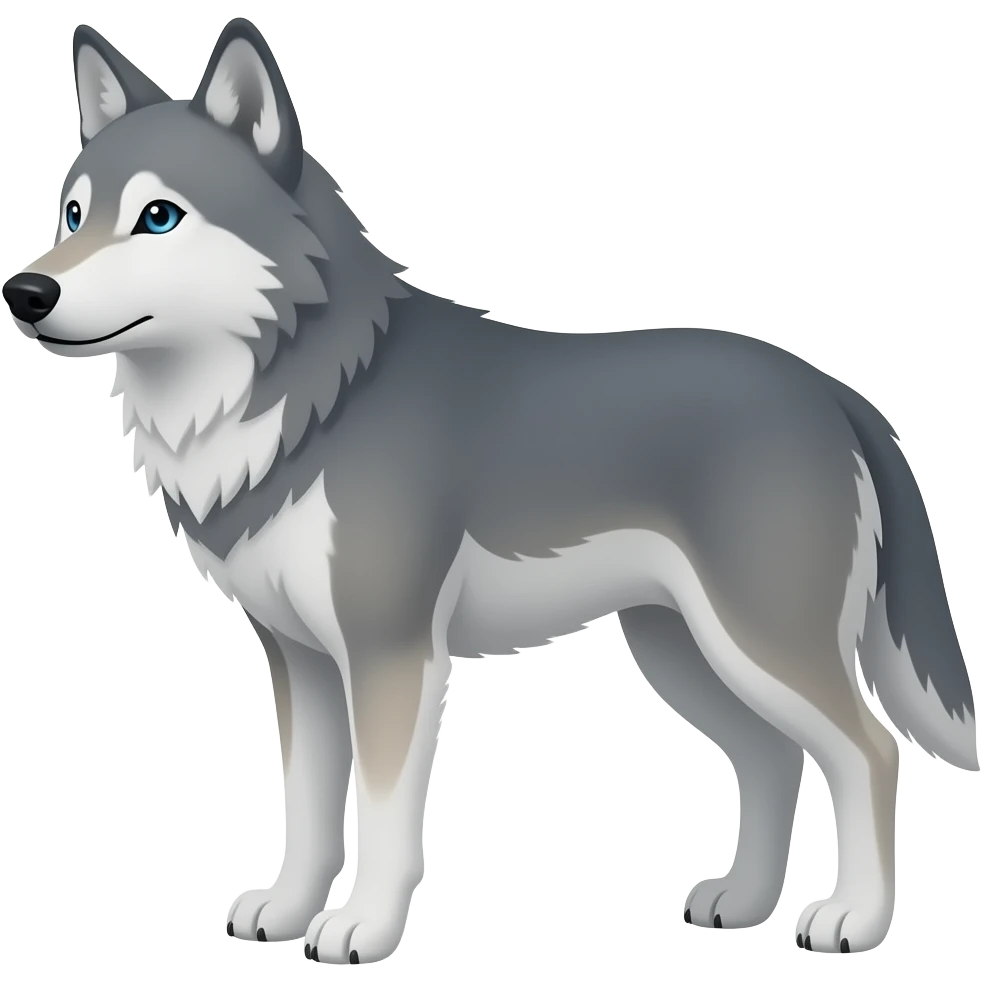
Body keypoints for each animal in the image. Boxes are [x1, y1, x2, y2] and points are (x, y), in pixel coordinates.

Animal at [3, 16, 977, 964]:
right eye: (73, 212)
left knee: (869, 753)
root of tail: (834, 392)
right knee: (775, 759)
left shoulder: (391, 654)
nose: (26, 290)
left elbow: (383, 817)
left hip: (757, 644)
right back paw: (741, 903)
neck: (317, 395)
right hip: (683, 652)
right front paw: (285, 910)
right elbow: (308, 808)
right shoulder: (301, 660)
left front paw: (362, 930)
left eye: (158, 217)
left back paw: (853, 921)